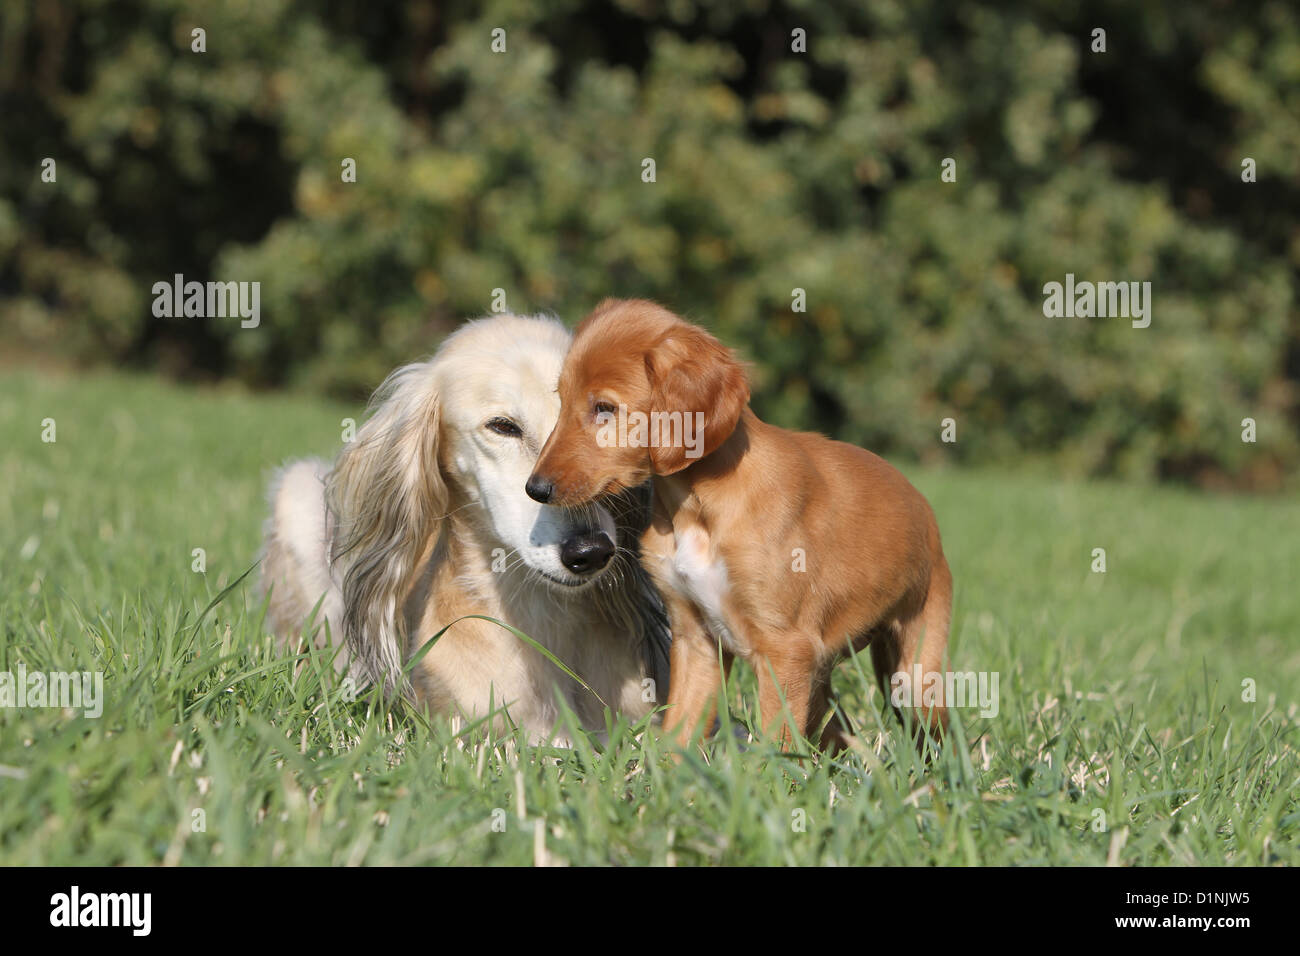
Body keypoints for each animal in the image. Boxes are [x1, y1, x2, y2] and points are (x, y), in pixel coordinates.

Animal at [527, 295, 956, 749]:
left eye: (605, 409)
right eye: (562, 400)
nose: (535, 489)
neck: (696, 507)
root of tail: (922, 508)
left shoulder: (785, 648)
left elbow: (775, 747)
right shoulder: (695, 639)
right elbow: (680, 732)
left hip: (915, 665)